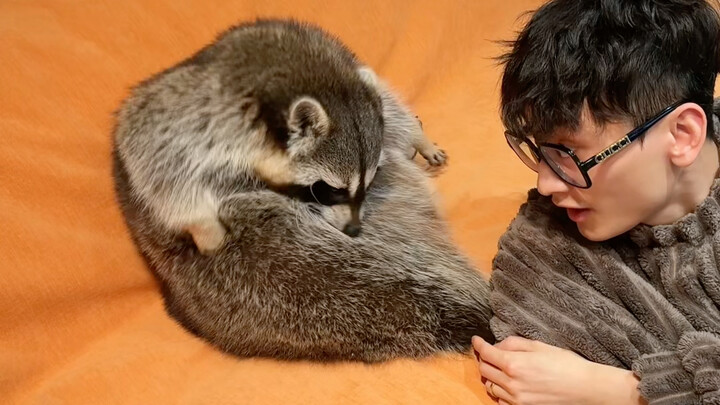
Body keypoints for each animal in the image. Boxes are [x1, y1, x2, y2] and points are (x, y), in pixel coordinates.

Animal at [113, 20, 492, 362]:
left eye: (366, 182)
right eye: (327, 189)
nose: (354, 228)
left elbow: (387, 107)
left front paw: (416, 135)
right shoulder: (195, 111)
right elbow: (154, 151)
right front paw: (203, 225)